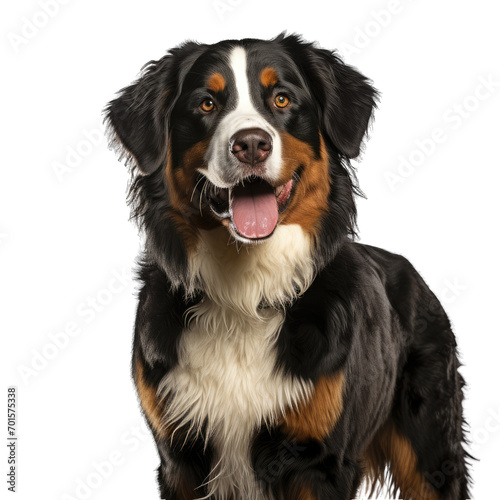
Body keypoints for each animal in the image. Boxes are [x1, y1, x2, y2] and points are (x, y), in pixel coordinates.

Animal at [103, 33, 470, 498]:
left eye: (281, 99)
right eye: (206, 103)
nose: (251, 144)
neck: (244, 294)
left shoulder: (318, 459)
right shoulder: (178, 457)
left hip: (430, 452)